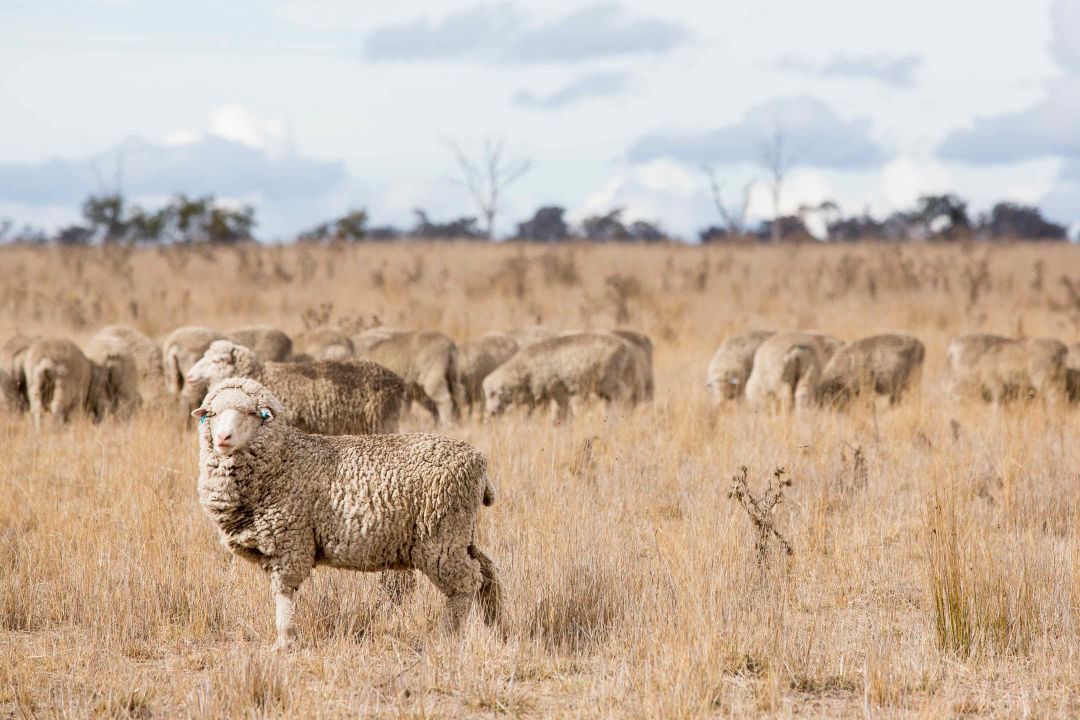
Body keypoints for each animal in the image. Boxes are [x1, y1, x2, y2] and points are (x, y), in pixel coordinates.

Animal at [193, 377, 501, 647]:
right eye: (213, 414)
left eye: (251, 413)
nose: (223, 437)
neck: (282, 458)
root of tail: (478, 461)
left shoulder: (290, 542)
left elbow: (284, 594)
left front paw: (285, 641)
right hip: (460, 534)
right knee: (487, 571)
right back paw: (499, 626)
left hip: (441, 535)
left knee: (465, 582)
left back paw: (449, 637)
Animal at [483, 332, 639, 423]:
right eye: (488, 394)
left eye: (493, 394)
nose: (491, 412)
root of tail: (628, 348)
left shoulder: (557, 388)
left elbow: (564, 412)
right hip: (604, 390)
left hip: (611, 382)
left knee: (623, 398)